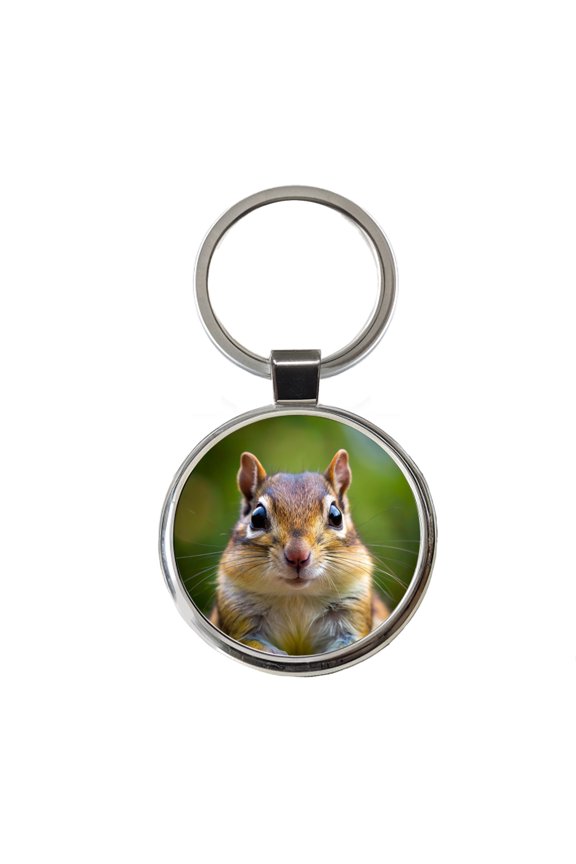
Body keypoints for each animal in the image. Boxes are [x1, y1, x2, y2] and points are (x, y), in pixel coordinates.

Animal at [211, 449, 389, 655]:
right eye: (257, 517)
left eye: (336, 516)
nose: (297, 555)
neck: (296, 597)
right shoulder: (238, 611)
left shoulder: (352, 606)